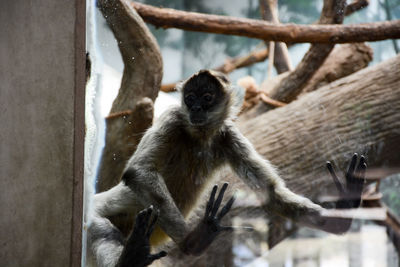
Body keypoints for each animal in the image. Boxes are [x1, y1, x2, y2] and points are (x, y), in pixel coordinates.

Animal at [89, 70, 368, 266]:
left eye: (207, 98)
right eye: (189, 98)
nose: (196, 107)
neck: (199, 137)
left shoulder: (228, 137)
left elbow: (272, 194)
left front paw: (343, 210)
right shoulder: (173, 118)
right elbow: (137, 171)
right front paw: (194, 240)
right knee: (101, 228)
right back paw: (131, 256)